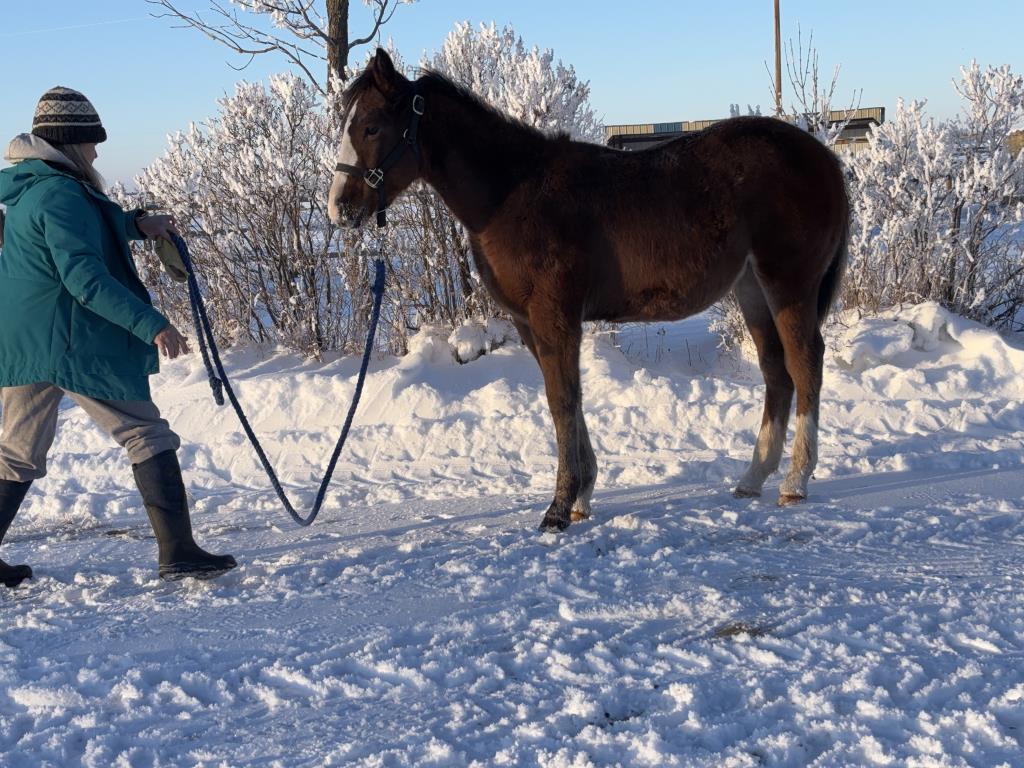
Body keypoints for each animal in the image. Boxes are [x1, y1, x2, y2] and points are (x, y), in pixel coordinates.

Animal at [328, 49, 849, 533]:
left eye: (371, 127)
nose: (339, 209)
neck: (512, 193)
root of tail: (823, 157)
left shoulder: (554, 315)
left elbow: (562, 401)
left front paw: (558, 509)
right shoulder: (529, 322)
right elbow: (565, 400)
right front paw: (581, 496)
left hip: (788, 283)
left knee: (804, 363)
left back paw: (795, 481)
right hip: (751, 289)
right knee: (776, 371)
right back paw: (752, 478)